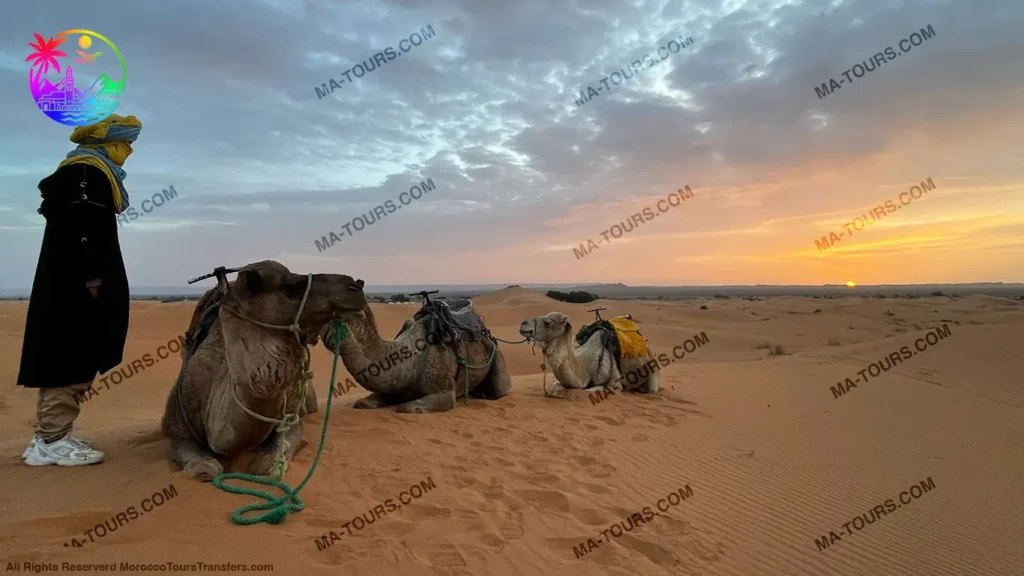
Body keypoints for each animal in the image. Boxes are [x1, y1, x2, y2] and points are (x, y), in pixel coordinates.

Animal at [157, 260, 366, 479]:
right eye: (291, 287)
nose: (355, 285)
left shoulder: (290, 418)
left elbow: (276, 452)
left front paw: (268, 464)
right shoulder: (176, 426)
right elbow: (201, 464)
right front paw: (205, 468)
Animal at [319, 297, 512, 409]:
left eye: (339, 314)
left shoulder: (444, 391)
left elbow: (406, 407)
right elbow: (364, 402)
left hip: (496, 354)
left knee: (500, 388)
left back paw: (483, 394)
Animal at [516, 311, 659, 397]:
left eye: (548, 322)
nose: (523, 324)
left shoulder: (615, 383)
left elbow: (591, 389)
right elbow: (554, 386)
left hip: (654, 371)